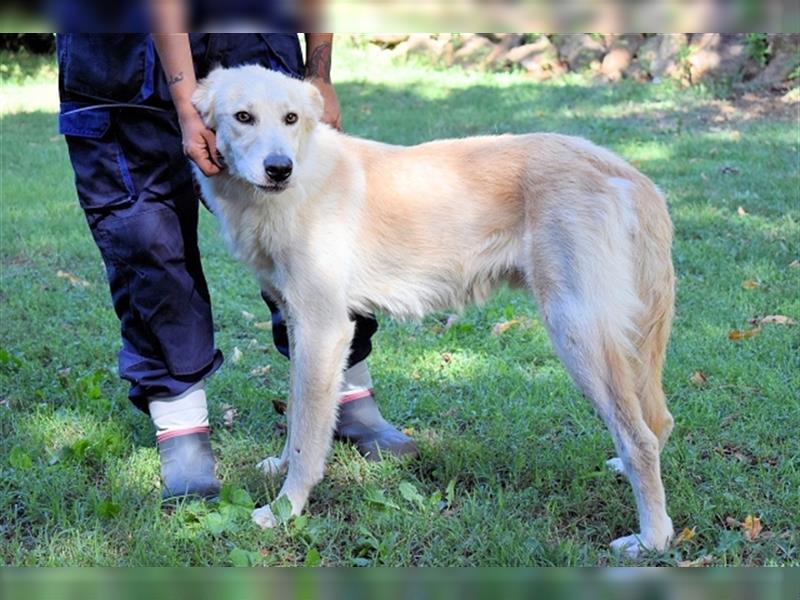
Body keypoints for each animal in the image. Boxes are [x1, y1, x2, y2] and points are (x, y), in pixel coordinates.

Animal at [194, 65, 676, 556]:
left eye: (290, 118)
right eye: (244, 117)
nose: (279, 169)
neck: (304, 175)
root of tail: (622, 170)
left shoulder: (323, 329)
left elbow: (307, 439)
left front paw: (285, 509)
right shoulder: (298, 325)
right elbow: (295, 412)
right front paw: (278, 467)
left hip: (576, 332)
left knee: (641, 438)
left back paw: (652, 538)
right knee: (656, 423)